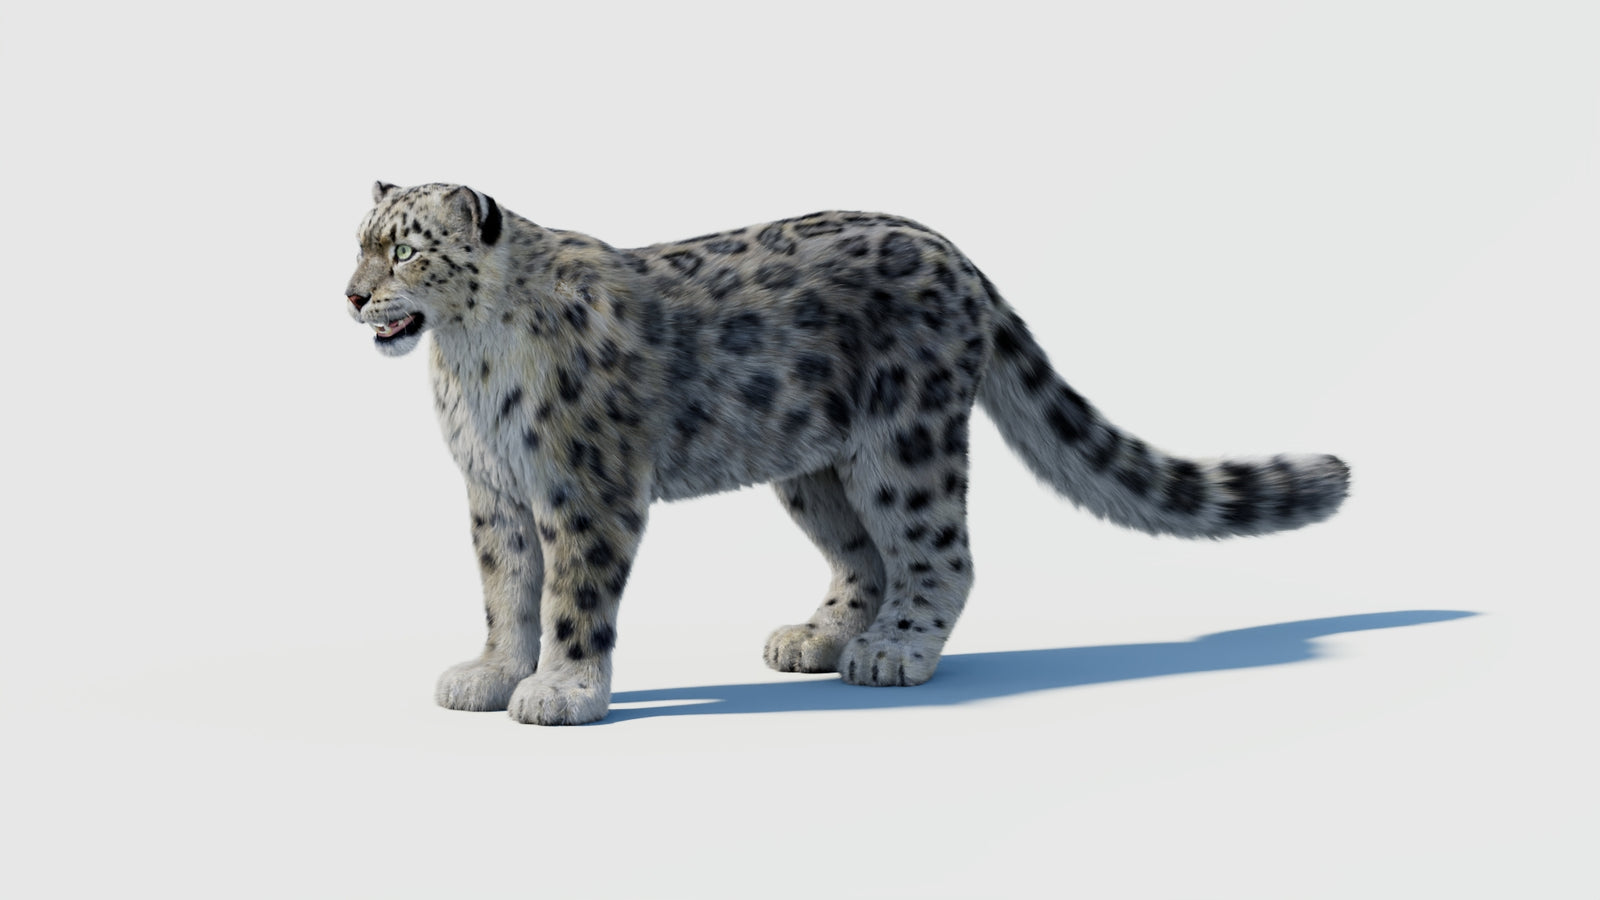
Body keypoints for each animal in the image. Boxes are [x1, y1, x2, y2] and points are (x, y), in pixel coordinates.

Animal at [344, 181, 1350, 725]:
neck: (467, 365)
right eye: (357, 244)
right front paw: (489, 674)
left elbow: (571, 598)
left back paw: (894, 651)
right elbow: (505, 590)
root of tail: (957, 255)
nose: (351, 296)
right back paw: (822, 638)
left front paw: (562, 690)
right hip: (816, 468)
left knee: (941, 552)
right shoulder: (495, 494)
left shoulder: (585, 491)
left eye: (406, 252)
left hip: (905, 445)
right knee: (863, 555)